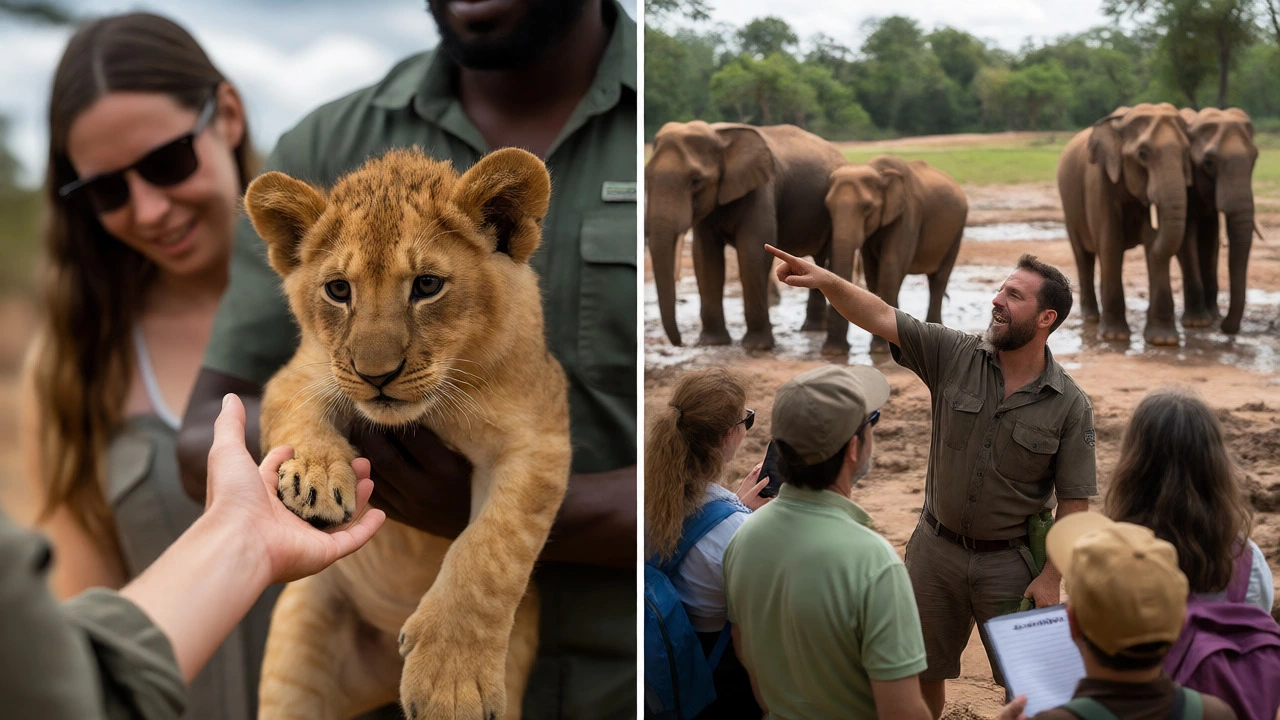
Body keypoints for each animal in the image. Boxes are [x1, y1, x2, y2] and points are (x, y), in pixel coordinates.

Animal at [646, 121, 848, 351]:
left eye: (696, 181)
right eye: (646, 176)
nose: (681, 344)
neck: (720, 136)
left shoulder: (760, 189)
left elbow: (752, 253)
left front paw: (756, 347)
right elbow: (706, 259)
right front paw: (713, 343)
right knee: (820, 261)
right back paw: (812, 329)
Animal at [824, 156, 967, 354]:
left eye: (867, 208)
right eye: (828, 207)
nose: (833, 351)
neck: (879, 172)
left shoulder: (909, 213)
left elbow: (891, 265)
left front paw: (880, 349)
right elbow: (871, 271)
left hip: (957, 231)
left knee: (939, 279)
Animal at [1057, 103, 1193, 346]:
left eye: (1187, 153)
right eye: (1142, 154)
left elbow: (1152, 244)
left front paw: (1163, 340)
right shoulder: (1099, 180)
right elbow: (1110, 243)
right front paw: (1114, 337)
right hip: (1069, 209)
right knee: (1083, 256)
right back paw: (1091, 318)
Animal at [1176, 107, 1262, 335]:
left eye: (1254, 160)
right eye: (1208, 163)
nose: (1226, 328)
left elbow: (1210, 239)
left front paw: (1213, 316)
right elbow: (1187, 238)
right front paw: (1197, 323)